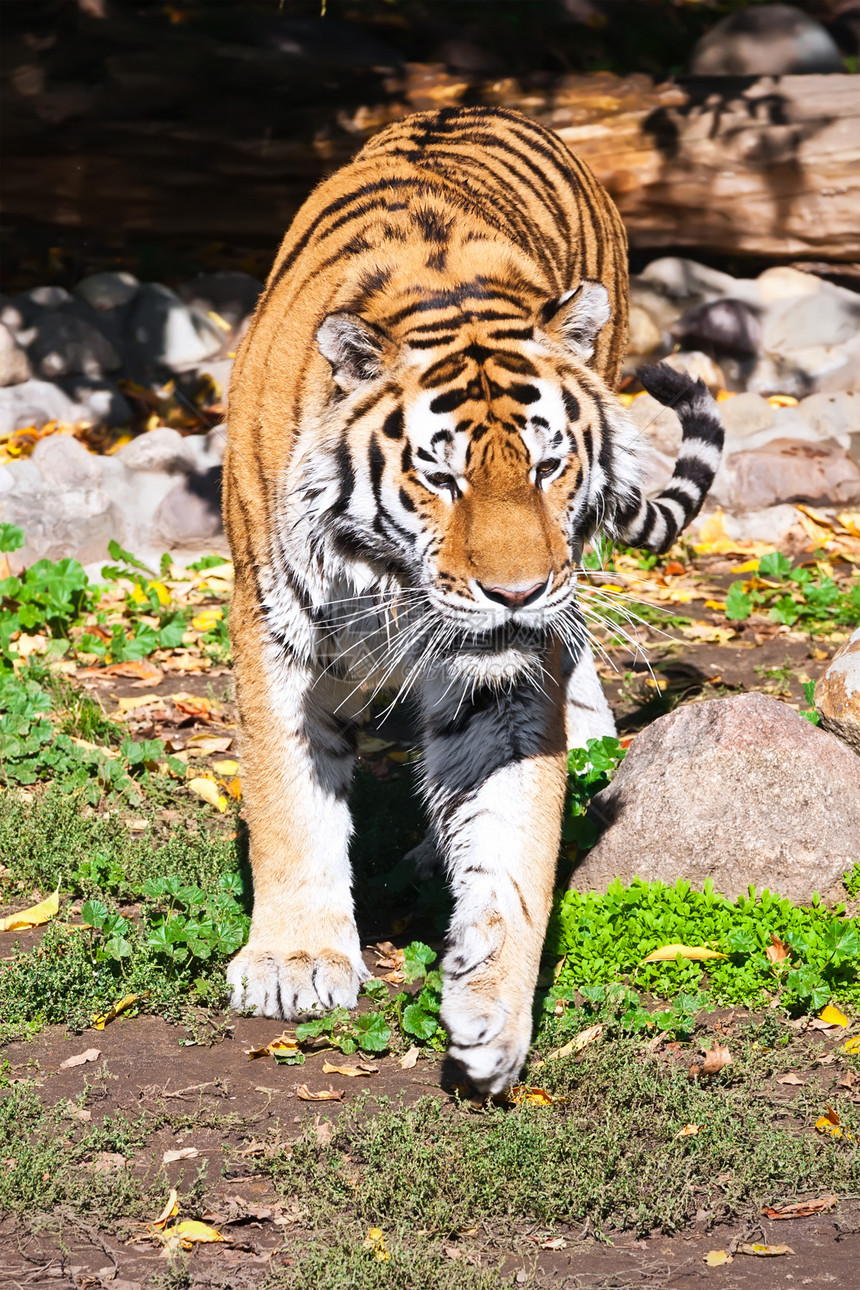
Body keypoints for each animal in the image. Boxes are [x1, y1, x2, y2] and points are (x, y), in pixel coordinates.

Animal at [224, 105, 727, 1088]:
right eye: (441, 477)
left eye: (547, 464)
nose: (517, 593)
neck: (386, 576)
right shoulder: (273, 631)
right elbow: (288, 800)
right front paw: (296, 961)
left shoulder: (505, 677)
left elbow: (513, 838)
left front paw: (493, 1007)